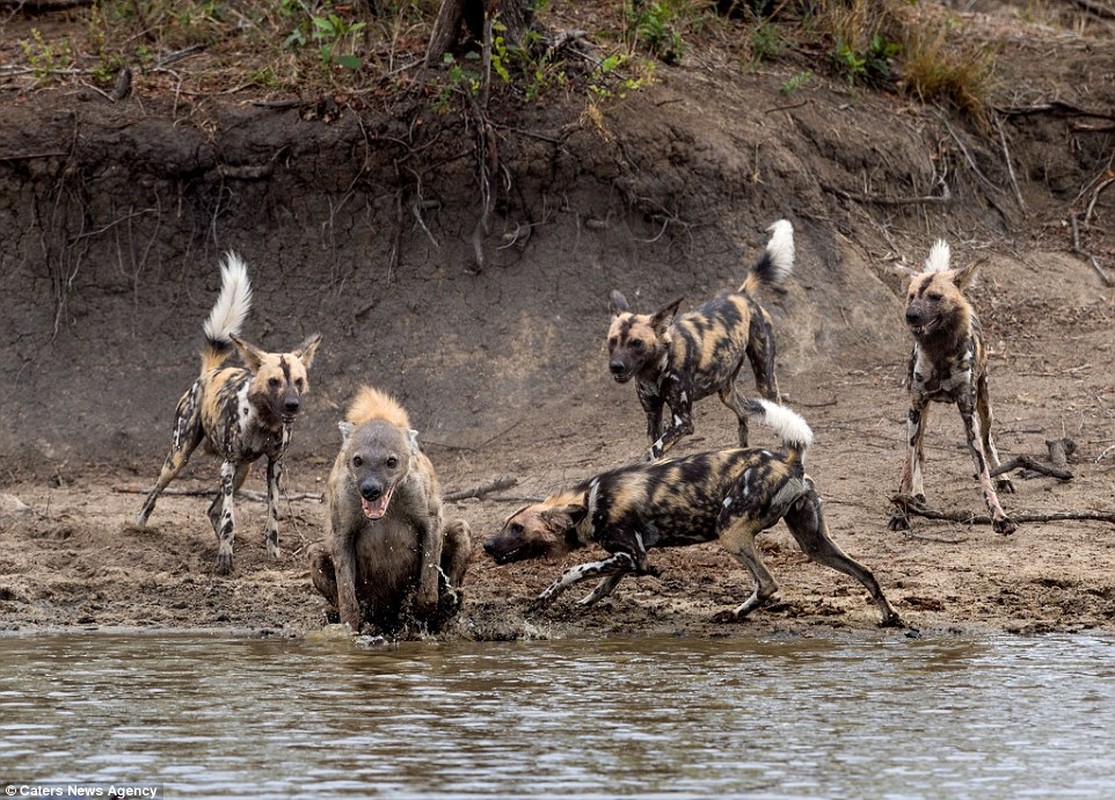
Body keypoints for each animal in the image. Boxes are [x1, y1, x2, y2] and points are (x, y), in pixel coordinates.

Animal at [133, 253, 323, 571]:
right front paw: (225, 558)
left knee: (212, 510)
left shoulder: (274, 467)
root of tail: (209, 374)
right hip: (180, 458)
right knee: (155, 494)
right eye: (274, 382)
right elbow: (230, 518)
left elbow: (272, 517)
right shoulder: (228, 466)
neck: (265, 422)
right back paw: (137, 527)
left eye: (298, 381)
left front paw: (272, 555)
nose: (292, 405)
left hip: (243, 469)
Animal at [307, 383, 472, 633]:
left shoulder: (430, 516)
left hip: (460, 530)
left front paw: (424, 615)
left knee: (460, 532)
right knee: (317, 556)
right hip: (318, 555)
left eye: (391, 461)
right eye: (357, 460)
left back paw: (449, 604)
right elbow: (346, 594)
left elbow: (429, 580)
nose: (370, 489)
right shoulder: (341, 527)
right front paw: (349, 628)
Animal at [483, 397, 900, 624]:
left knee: (767, 583)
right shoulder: (629, 558)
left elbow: (572, 572)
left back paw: (733, 614)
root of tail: (788, 458)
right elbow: (602, 585)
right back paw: (891, 618)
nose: (486, 545)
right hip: (814, 544)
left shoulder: (630, 556)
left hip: (730, 532)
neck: (590, 501)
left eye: (516, 528)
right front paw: (584, 603)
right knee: (866, 573)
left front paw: (546, 599)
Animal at [606, 216, 798, 461]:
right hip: (726, 391)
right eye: (612, 341)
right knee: (745, 413)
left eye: (636, 343)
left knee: (777, 409)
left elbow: (651, 453)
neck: (655, 367)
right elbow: (654, 450)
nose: (616, 367)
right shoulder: (653, 416)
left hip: (765, 380)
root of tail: (742, 294)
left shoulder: (683, 422)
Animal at [887, 239, 1021, 533]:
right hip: (921, 415)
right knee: (920, 451)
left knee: (989, 441)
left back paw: (1003, 477)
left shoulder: (968, 414)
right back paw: (917, 493)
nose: (911, 315)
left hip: (985, 408)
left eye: (935, 297)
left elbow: (982, 471)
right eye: (911, 296)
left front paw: (999, 516)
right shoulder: (915, 409)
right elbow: (907, 465)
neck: (940, 353)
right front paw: (902, 511)